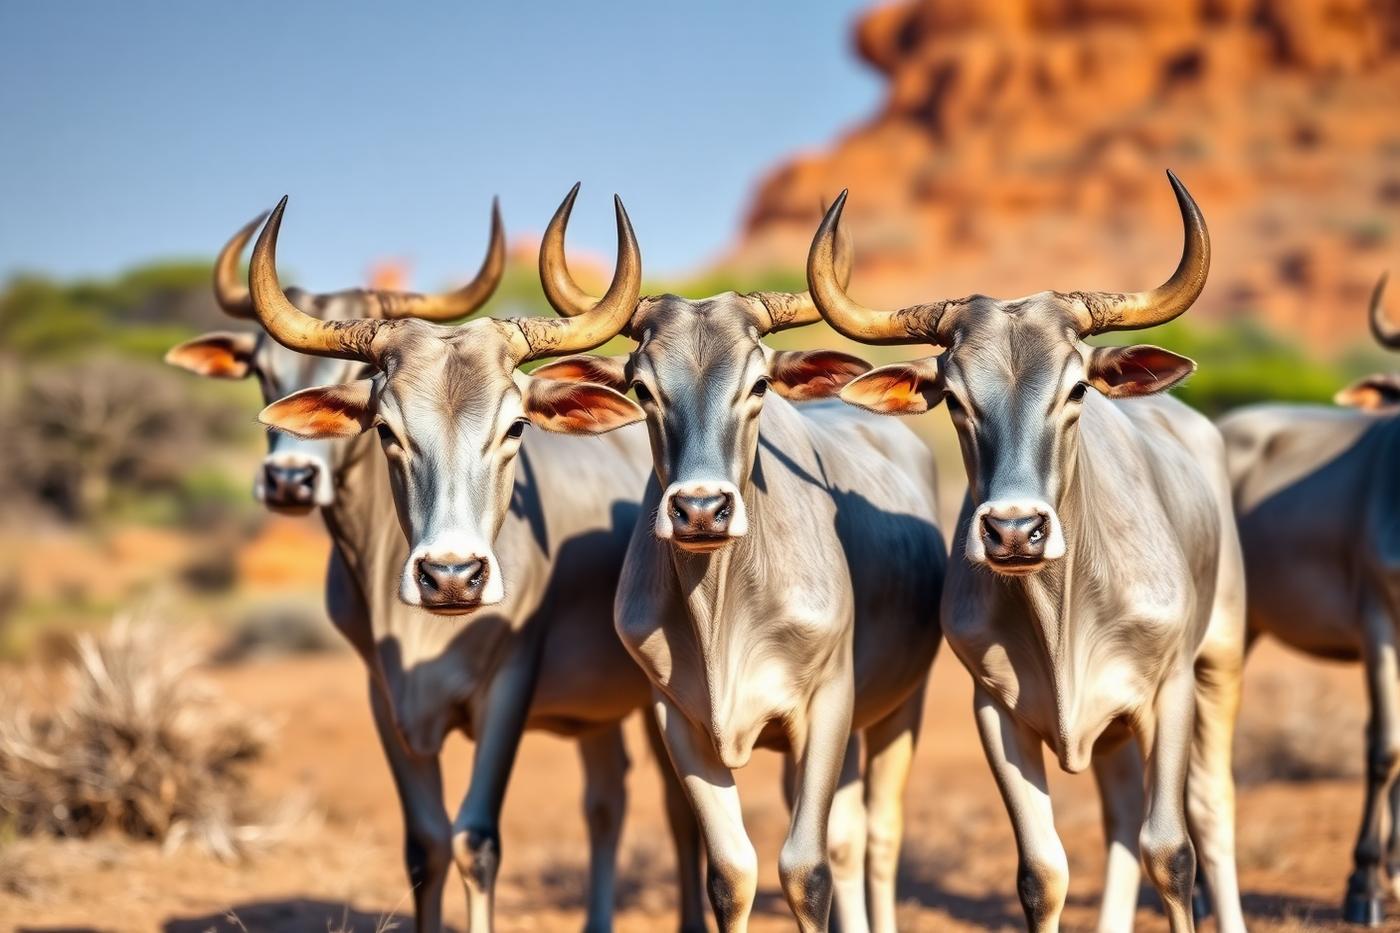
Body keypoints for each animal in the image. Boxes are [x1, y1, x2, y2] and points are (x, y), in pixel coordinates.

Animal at [166, 200, 704, 933]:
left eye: (514, 427)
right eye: (386, 427)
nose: (451, 576)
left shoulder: (509, 682)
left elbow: (475, 840)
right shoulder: (385, 694)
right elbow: (425, 844)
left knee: (678, 809)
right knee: (606, 797)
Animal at [525, 210, 947, 933]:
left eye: (757, 385)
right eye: (643, 388)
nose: (701, 508)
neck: (722, 608)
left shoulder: (828, 703)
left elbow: (806, 869)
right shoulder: (678, 719)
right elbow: (731, 872)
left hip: (901, 704)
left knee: (876, 835)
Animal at [806, 171, 1248, 933]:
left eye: (1077, 389)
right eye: (954, 398)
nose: (1014, 531)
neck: (1063, 609)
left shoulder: (1169, 692)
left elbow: (1172, 852)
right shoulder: (997, 710)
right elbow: (1044, 873)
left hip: (1219, 657)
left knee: (1211, 808)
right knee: (1120, 817)